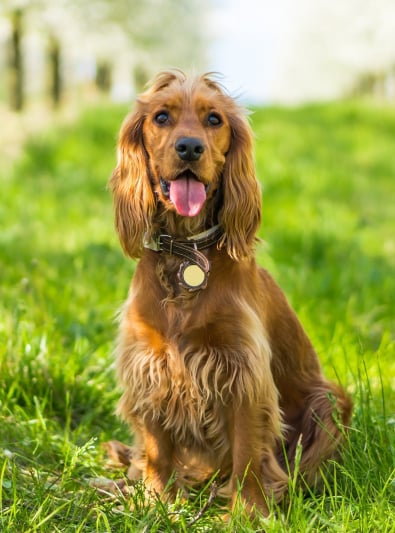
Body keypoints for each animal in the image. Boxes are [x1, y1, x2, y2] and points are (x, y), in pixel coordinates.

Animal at [106, 68, 352, 512]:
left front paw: (247, 512)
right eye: (162, 117)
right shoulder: (149, 364)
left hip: (328, 400)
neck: (185, 251)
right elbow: (157, 447)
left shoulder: (241, 370)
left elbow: (248, 452)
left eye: (214, 119)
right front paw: (155, 500)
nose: (189, 147)